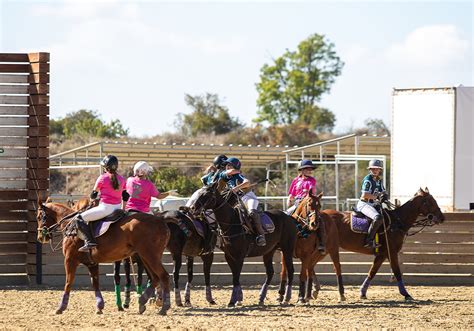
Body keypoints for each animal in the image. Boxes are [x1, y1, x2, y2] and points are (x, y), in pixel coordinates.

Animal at [36, 200, 172, 316]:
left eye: (39, 217)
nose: (40, 237)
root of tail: (161, 221)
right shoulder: (91, 263)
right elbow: (95, 283)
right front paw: (99, 306)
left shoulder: (70, 260)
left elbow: (68, 283)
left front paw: (61, 308)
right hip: (145, 256)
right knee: (155, 278)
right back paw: (142, 302)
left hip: (149, 255)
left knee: (163, 276)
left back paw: (164, 308)